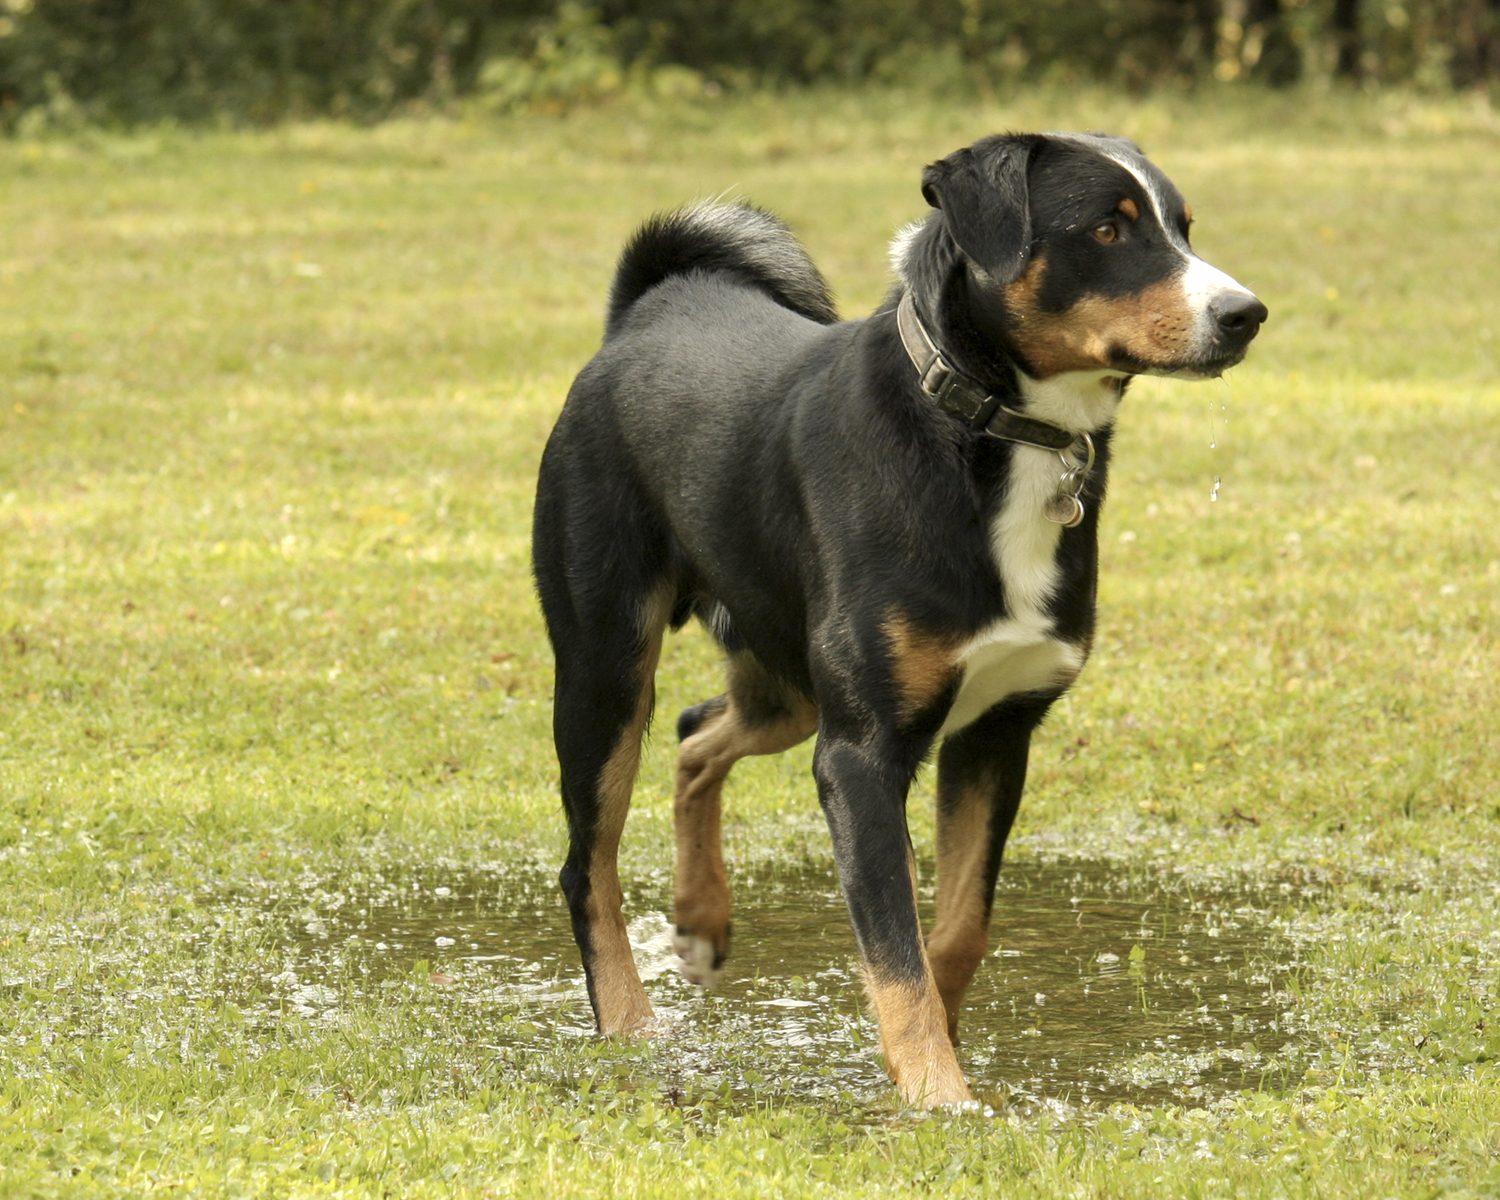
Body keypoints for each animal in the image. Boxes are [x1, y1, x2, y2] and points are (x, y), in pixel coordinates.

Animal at [532, 132, 1265, 1107]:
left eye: (1183, 226)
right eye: (1108, 228)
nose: (1245, 313)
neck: (987, 438)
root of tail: (648, 315)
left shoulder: (995, 733)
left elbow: (953, 931)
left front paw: (929, 1062)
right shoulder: (861, 756)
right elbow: (896, 948)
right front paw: (937, 1097)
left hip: (788, 685)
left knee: (696, 736)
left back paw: (701, 919)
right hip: (608, 671)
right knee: (591, 865)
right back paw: (628, 1021)